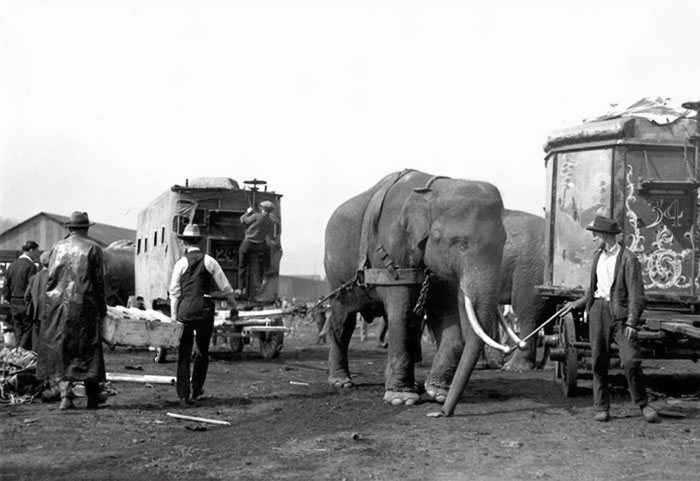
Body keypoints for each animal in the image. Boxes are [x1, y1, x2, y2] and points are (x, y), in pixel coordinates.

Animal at [324, 169, 507, 410]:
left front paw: (437, 392)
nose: (443, 413)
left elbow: (445, 315)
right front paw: (401, 399)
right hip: (335, 275)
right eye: (461, 244)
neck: (431, 188)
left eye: (504, 242)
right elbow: (402, 316)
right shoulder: (393, 254)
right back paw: (341, 381)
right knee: (343, 321)